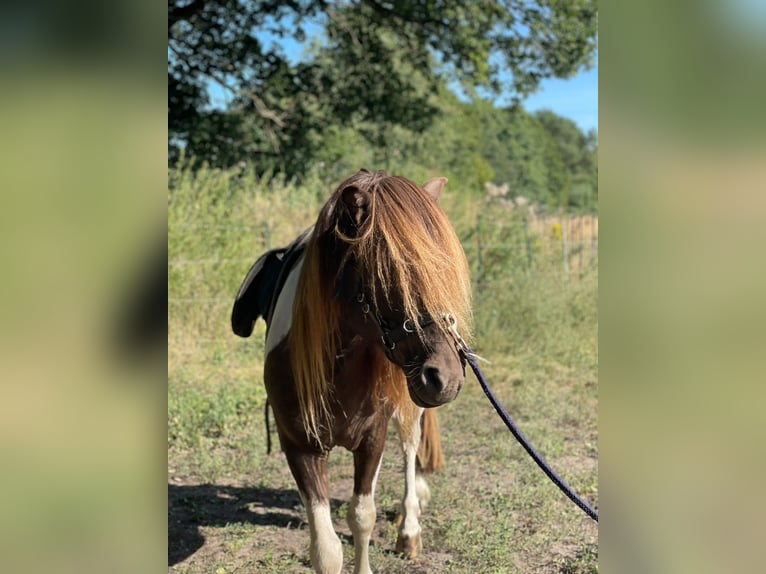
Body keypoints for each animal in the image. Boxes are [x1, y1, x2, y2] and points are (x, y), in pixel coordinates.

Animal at [232, 169, 472, 574]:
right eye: (389, 270)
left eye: (442, 269)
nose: (446, 377)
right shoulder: (300, 446)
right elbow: (326, 548)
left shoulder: (372, 438)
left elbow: (362, 516)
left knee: (409, 447)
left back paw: (409, 528)